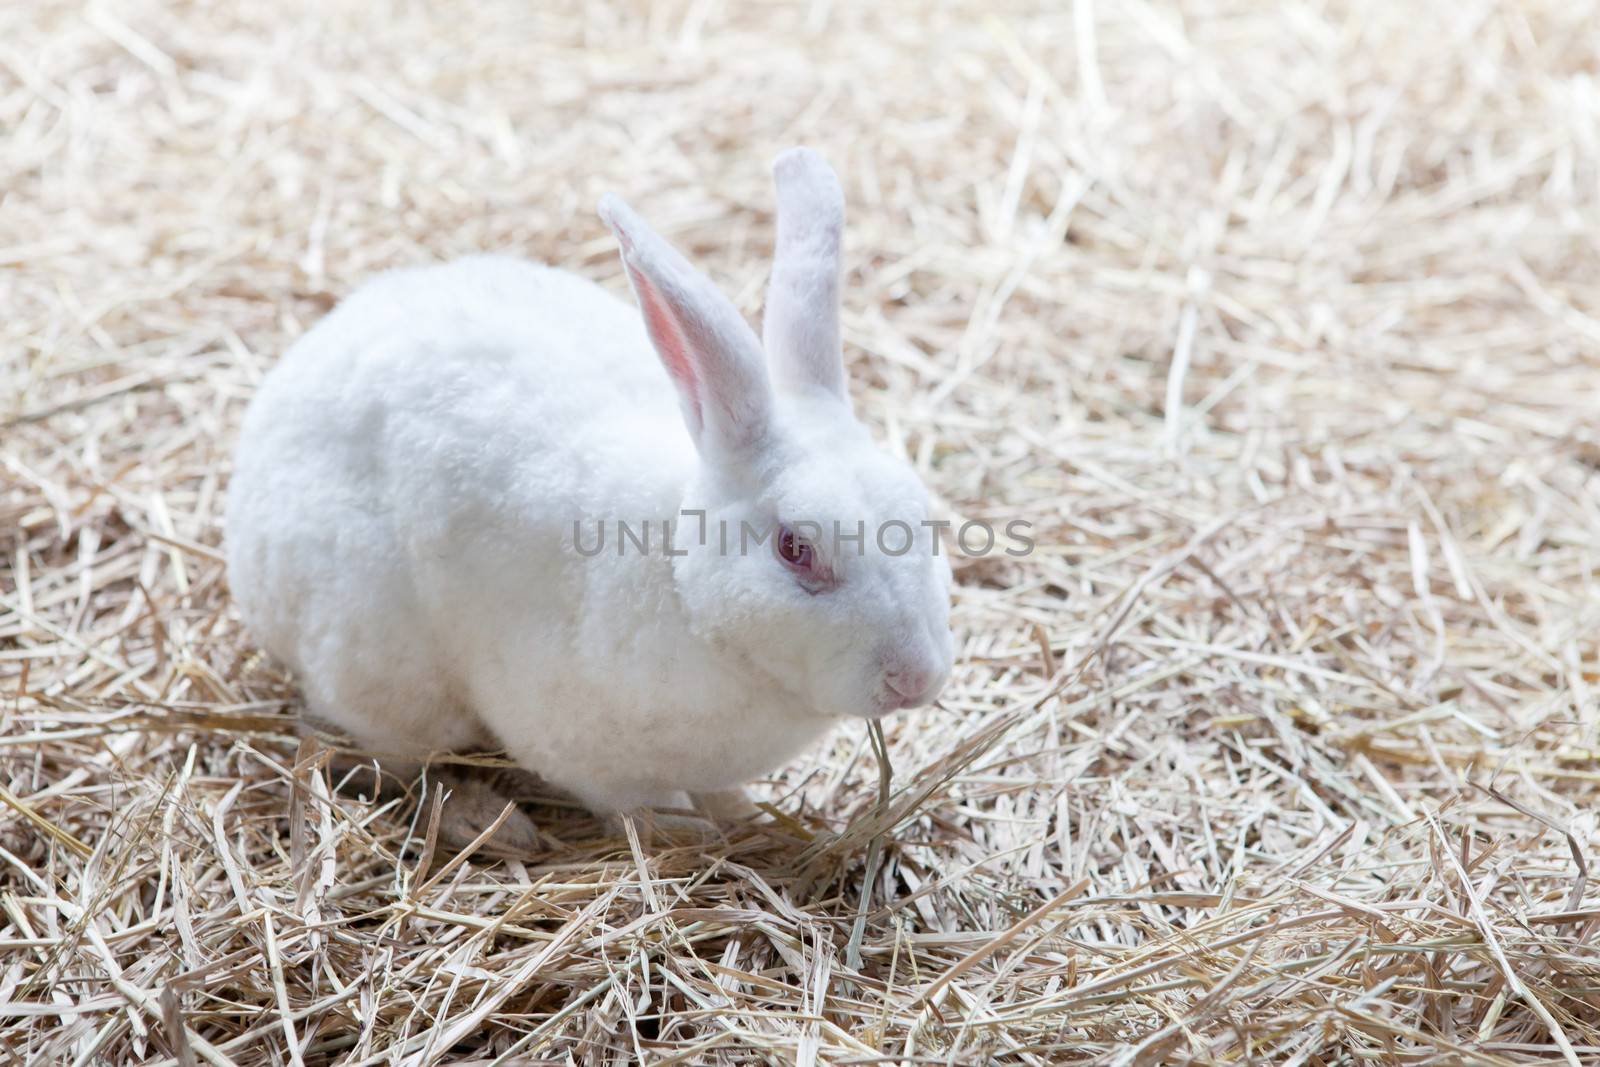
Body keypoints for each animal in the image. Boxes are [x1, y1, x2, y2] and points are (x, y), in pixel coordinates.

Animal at [224, 150, 947, 851]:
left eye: (923, 517)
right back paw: (492, 824)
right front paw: (690, 832)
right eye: (795, 548)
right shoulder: (586, 751)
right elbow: (636, 802)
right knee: (396, 765)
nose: (916, 679)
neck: (683, 587)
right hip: (378, 667)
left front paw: (740, 814)